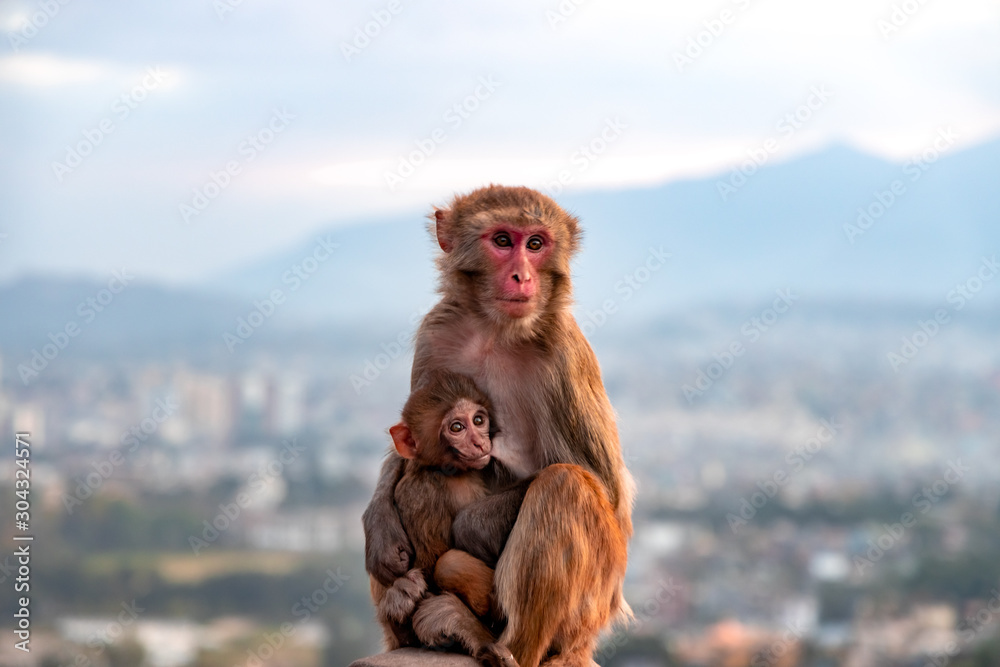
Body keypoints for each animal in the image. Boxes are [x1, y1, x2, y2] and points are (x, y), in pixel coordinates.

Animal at [370, 369, 525, 666]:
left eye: (478, 420)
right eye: (456, 428)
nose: (480, 442)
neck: (447, 472)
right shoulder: (432, 491)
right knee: (450, 564)